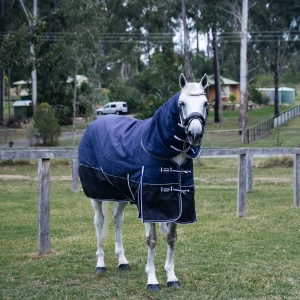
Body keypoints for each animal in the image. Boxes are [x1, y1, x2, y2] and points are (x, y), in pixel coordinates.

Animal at [77, 72, 209, 290]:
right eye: (181, 103)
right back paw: (100, 264)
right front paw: (152, 280)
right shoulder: (149, 204)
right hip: (96, 194)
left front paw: (171, 277)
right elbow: (152, 240)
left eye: (206, 103)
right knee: (99, 221)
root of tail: (92, 125)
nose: (195, 134)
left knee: (117, 219)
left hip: (122, 193)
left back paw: (122, 261)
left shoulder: (178, 204)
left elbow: (171, 238)